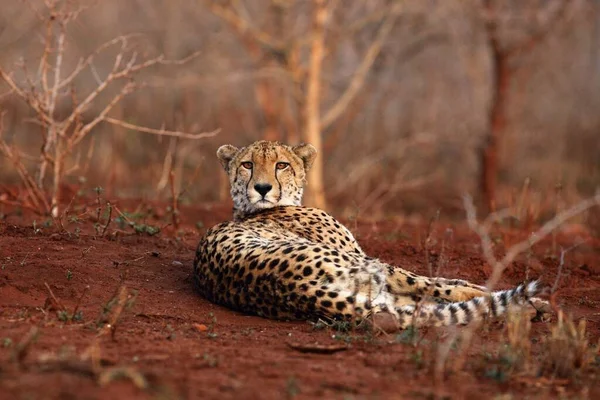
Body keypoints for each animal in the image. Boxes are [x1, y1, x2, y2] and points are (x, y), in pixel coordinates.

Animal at [193, 141, 548, 332]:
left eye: (281, 165)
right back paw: (526, 304)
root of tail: (293, 289)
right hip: (373, 267)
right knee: (429, 290)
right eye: (247, 165)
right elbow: (443, 281)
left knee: (415, 304)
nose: (263, 188)